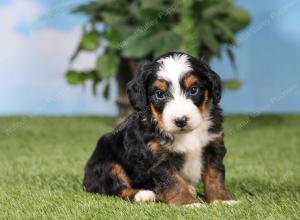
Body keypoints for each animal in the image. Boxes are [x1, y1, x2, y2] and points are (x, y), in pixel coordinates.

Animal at [82, 52, 234, 206]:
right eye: (159, 94)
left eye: (193, 90)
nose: (180, 120)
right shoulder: (159, 157)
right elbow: (173, 181)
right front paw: (188, 203)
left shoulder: (214, 146)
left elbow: (214, 176)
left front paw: (221, 199)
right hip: (107, 165)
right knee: (116, 187)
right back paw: (143, 194)